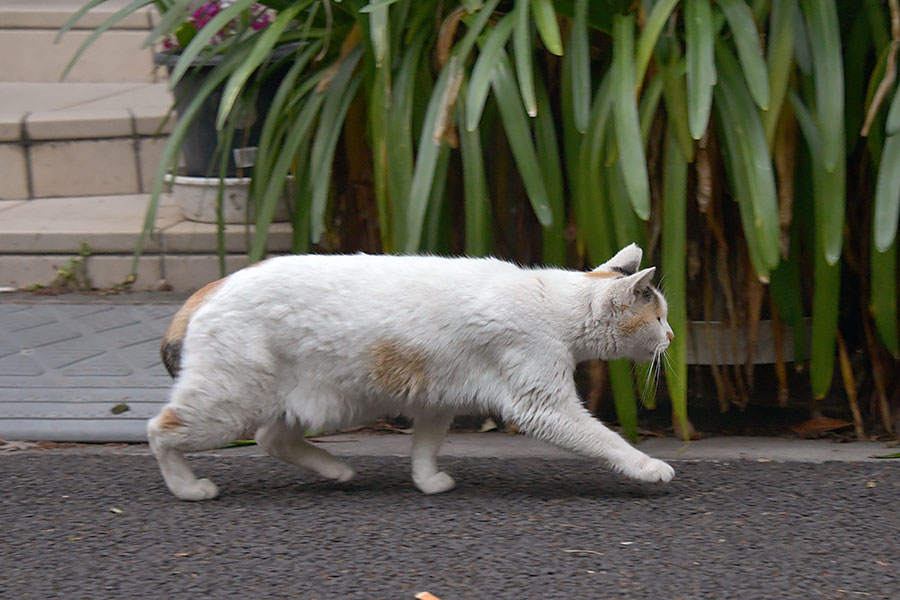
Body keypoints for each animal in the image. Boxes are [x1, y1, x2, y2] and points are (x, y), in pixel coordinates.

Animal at [149, 244, 676, 502]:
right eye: (658, 317)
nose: (672, 337)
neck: (554, 302)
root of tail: (215, 284)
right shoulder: (543, 406)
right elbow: (606, 440)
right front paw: (648, 467)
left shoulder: (438, 399)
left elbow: (424, 446)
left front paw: (427, 483)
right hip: (229, 403)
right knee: (161, 429)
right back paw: (188, 489)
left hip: (318, 401)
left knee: (271, 439)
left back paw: (337, 470)